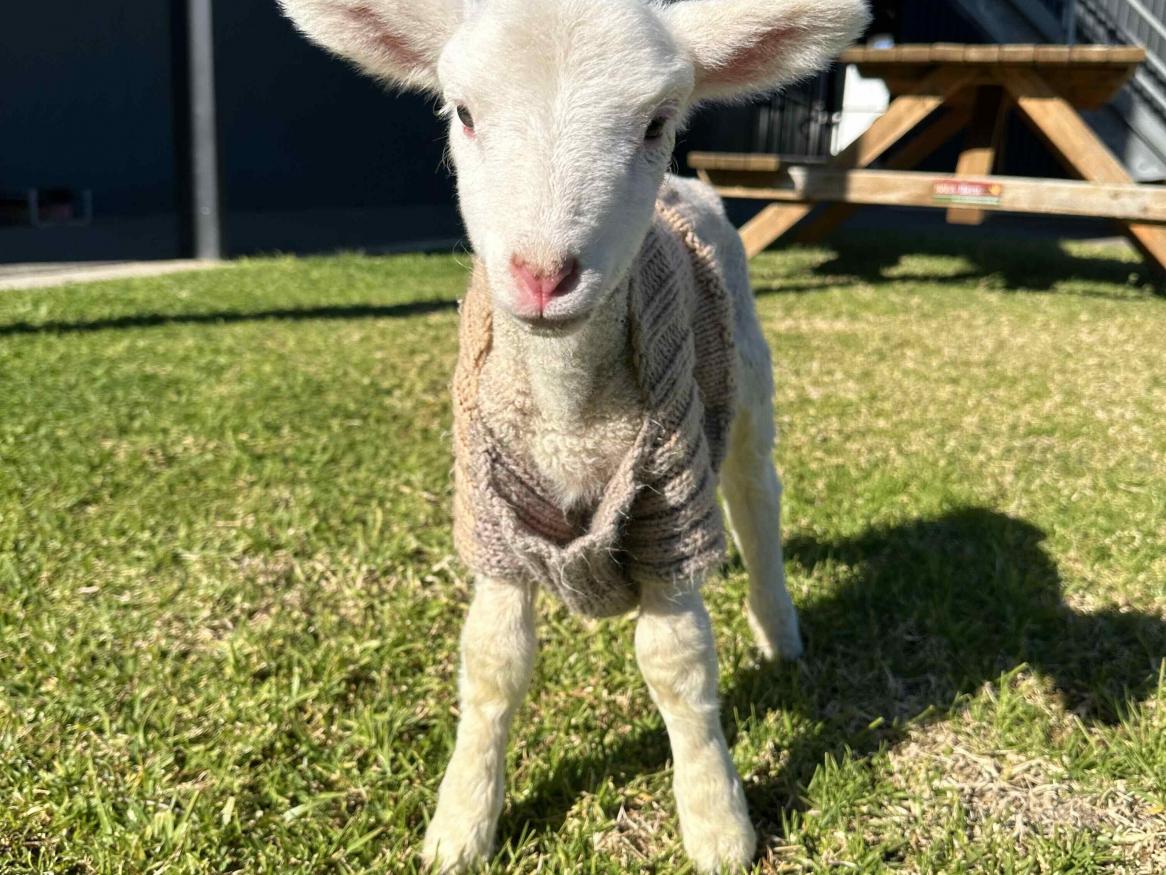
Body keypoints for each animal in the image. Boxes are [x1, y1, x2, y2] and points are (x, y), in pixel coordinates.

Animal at [277, 3, 872, 872]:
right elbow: (492, 663)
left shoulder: (670, 509)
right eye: (463, 111)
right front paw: (462, 823)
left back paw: (780, 630)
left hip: (746, 381)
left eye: (656, 121)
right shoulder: (490, 516)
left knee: (757, 494)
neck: (568, 416)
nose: (542, 274)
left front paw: (717, 823)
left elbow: (677, 664)